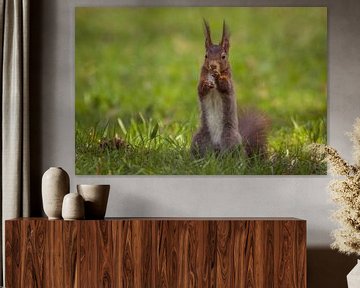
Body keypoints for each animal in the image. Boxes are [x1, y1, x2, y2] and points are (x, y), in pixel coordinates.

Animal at [191, 20, 270, 158]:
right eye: (206, 56)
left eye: (223, 56)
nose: (213, 66)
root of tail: (216, 147)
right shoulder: (201, 81)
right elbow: (200, 90)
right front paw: (206, 84)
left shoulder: (229, 84)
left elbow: (225, 86)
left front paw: (218, 77)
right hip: (199, 140)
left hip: (229, 139)